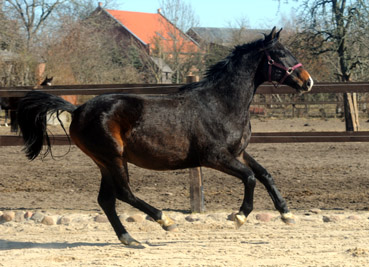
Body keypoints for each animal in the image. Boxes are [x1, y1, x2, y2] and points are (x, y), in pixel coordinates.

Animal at [16, 27, 310, 249]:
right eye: (280, 54)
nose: (308, 81)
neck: (221, 103)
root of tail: (77, 109)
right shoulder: (214, 157)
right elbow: (250, 178)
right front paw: (239, 217)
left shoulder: (237, 152)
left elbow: (265, 174)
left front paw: (287, 214)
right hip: (112, 158)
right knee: (124, 194)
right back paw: (165, 221)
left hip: (104, 162)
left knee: (106, 200)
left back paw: (130, 239)